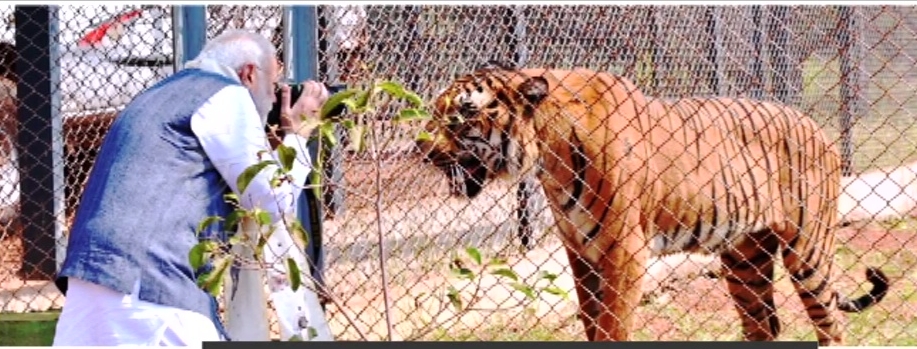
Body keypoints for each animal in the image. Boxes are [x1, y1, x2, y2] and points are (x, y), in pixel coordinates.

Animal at [416, 64, 888, 344]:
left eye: (461, 115)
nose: (420, 149)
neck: (547, 158)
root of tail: (819, 129)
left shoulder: (624, 252)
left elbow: (613, 326)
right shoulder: (580, 253)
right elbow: (591, 320)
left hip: (806, 249)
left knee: (830, 324)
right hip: (744, 260)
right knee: (764, 324)